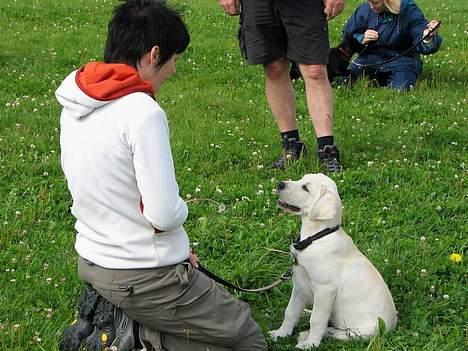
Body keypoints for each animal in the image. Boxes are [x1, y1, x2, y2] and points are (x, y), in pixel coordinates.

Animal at [268, 173, 396, 350]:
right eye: (301, 179)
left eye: (305, 188)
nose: (280, 184)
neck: (315, 237)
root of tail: (392, 326)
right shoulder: (299, 285)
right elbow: (291, 311)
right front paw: (281, 334)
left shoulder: (325, 290)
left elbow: (317, 320)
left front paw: (311, 344)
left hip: (367, 330)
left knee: (341, 333)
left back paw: (309, 335)